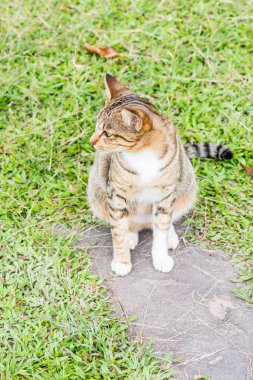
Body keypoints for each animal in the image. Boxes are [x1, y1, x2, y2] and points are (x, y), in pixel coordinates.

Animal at [87, 74, 233, 276]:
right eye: (96, 127)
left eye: (107, 133)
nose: (91, 141)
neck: (143, 155)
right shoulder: (116, 193)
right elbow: (118, 231)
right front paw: (122, 261)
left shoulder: (165, 194)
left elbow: (161, 230)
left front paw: (161, 258)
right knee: (127, 223)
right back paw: (131, 235)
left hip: (185, 188)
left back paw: (170, 235)